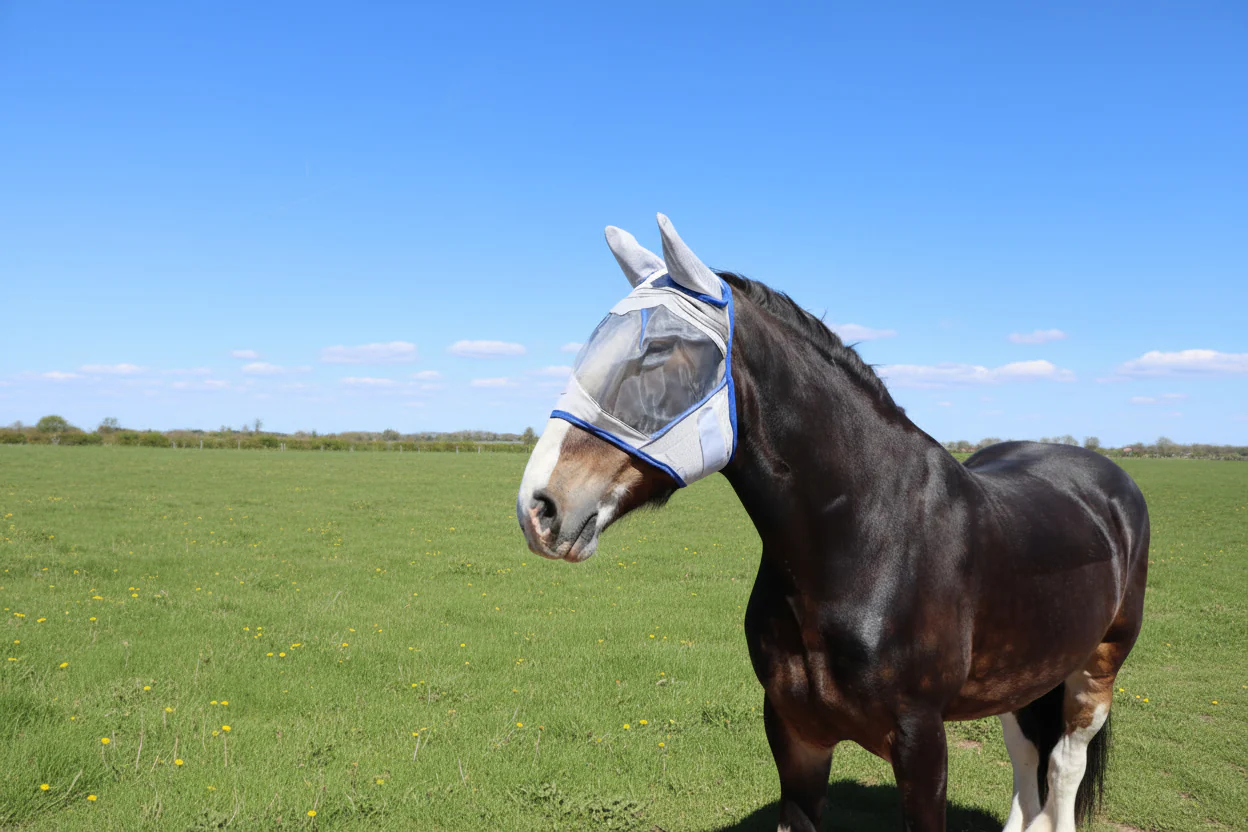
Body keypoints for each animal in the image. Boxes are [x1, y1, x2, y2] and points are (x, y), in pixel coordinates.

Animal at [516, 215, 1149, 832]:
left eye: (658, 350)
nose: (538, 507)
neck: (869, 541)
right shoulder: (795, 734)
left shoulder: (922, 745)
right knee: (1026, 755)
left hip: (1096, 669)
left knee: (1064, 766)